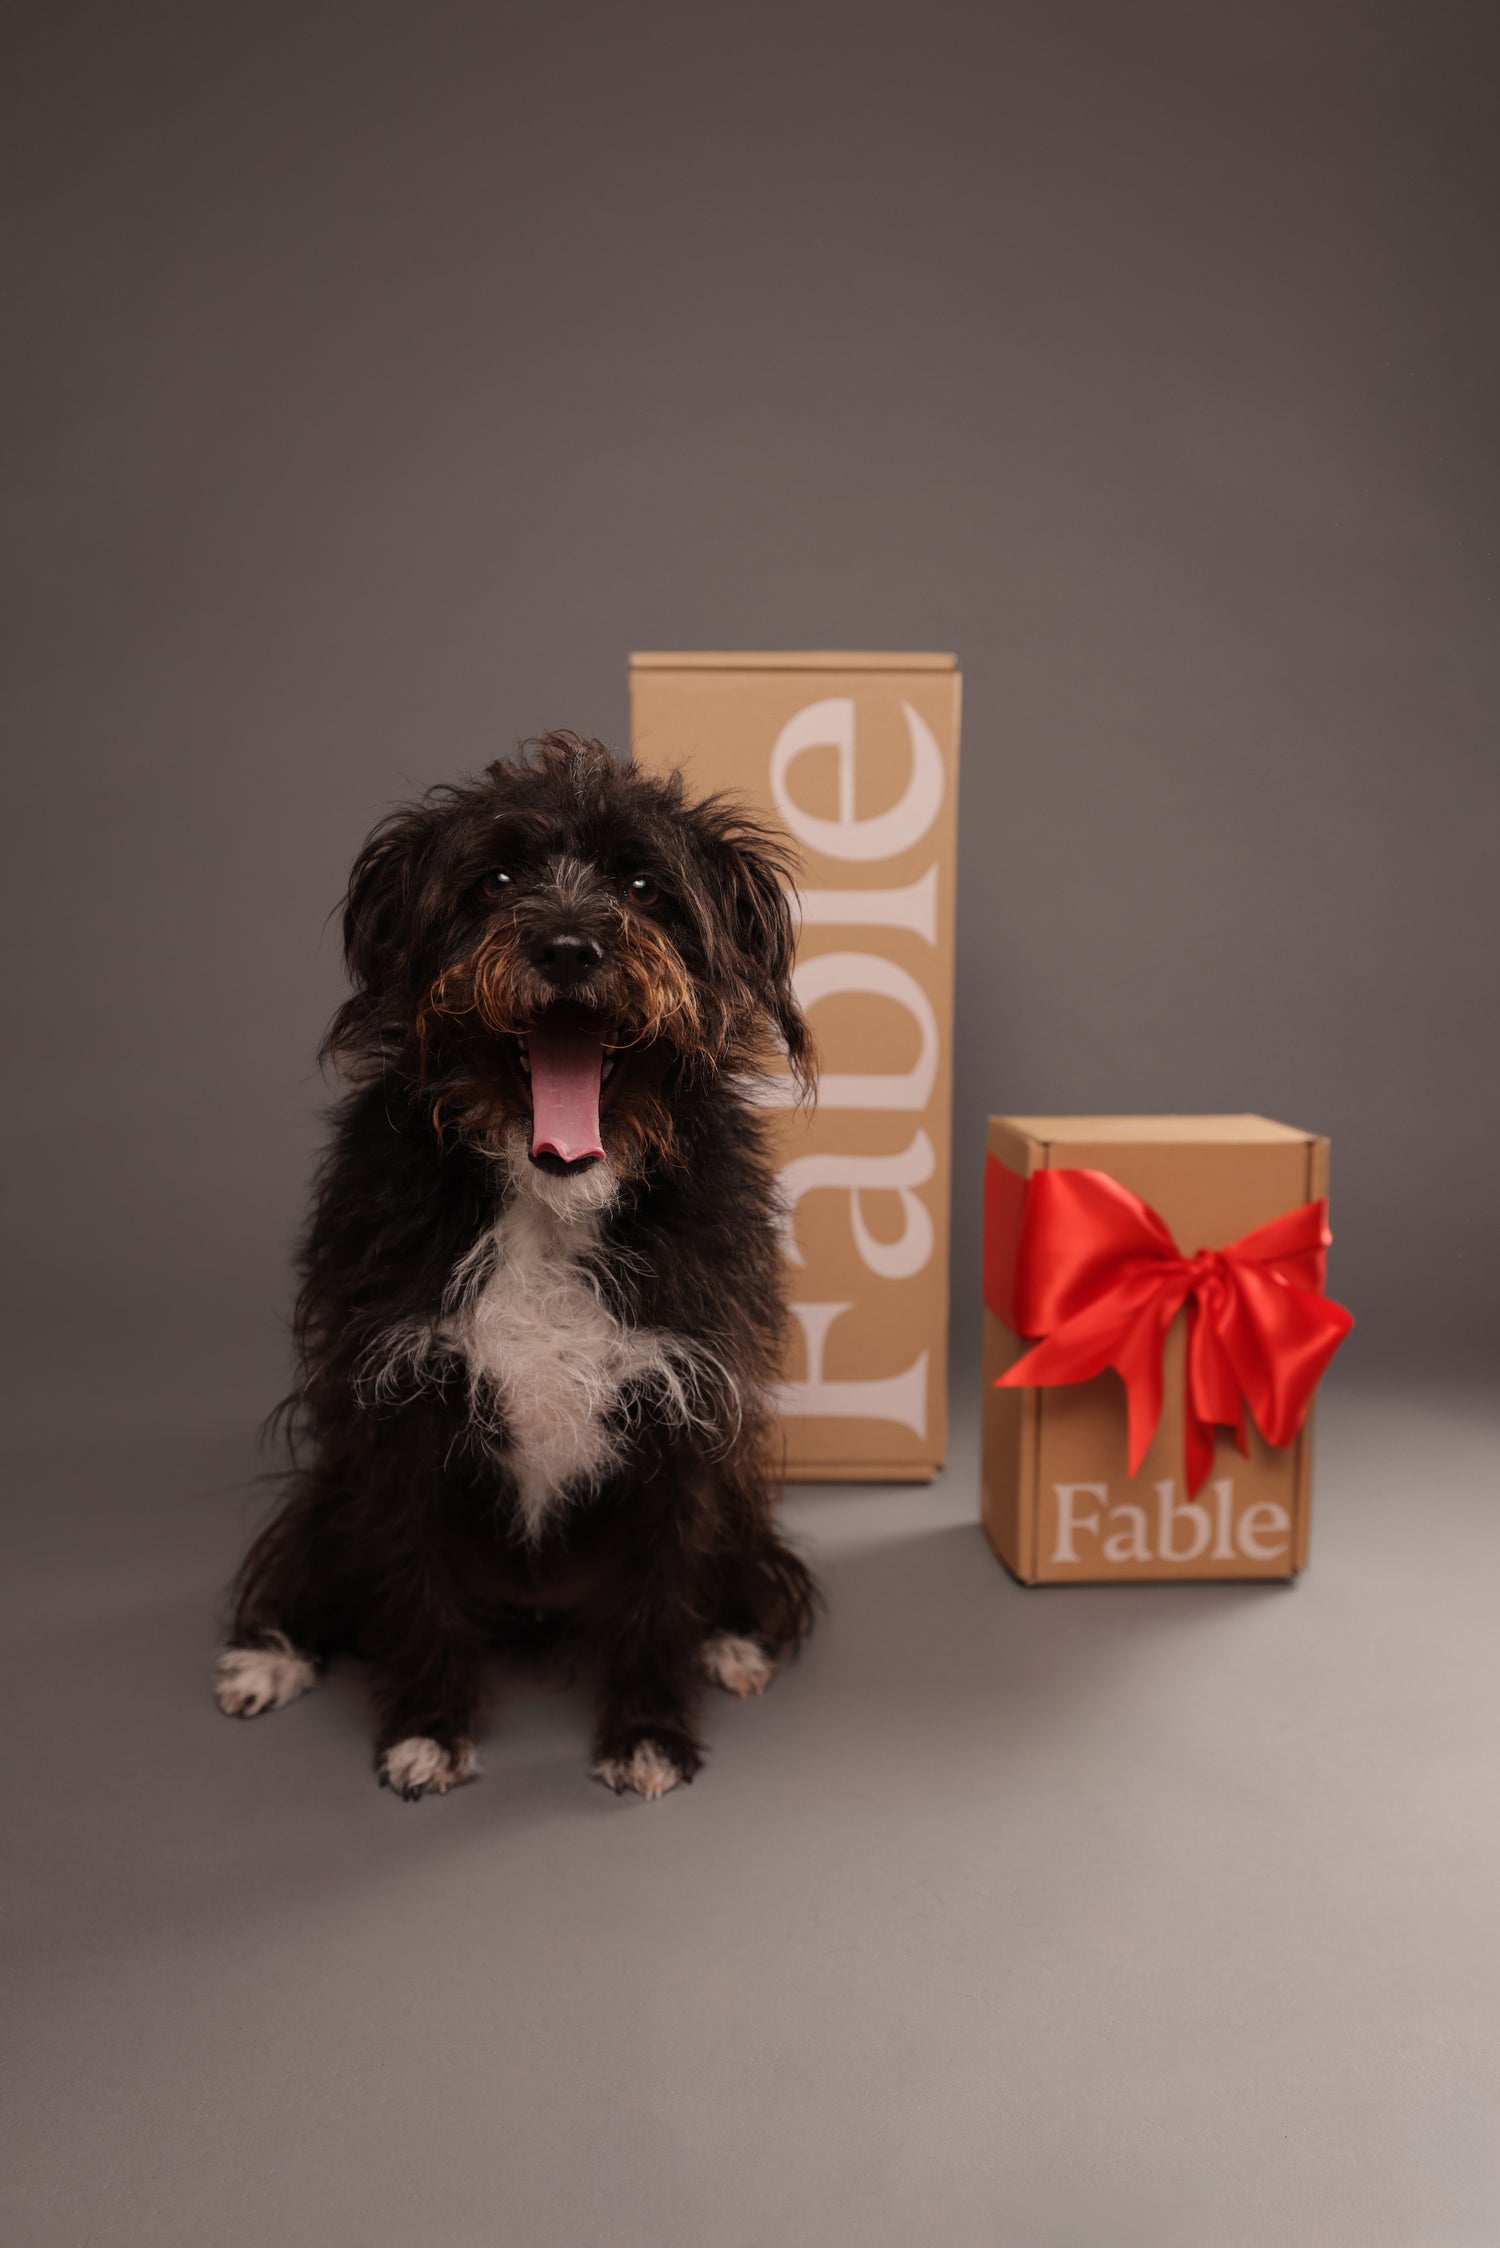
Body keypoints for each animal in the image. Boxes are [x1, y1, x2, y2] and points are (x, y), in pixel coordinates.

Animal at [213, 728, 823, 1798]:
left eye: (644, 884)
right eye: (495, 879)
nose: (571, 947)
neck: (550, 1200)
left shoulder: (688, 1416)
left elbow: (666, 1587)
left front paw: (649, 1732)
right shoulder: (394, 1411)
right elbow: (411, 1580)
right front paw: (427, 1730)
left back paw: (734, 1641)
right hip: (324, 1484)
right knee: (309, 1560)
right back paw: (269, 1655)